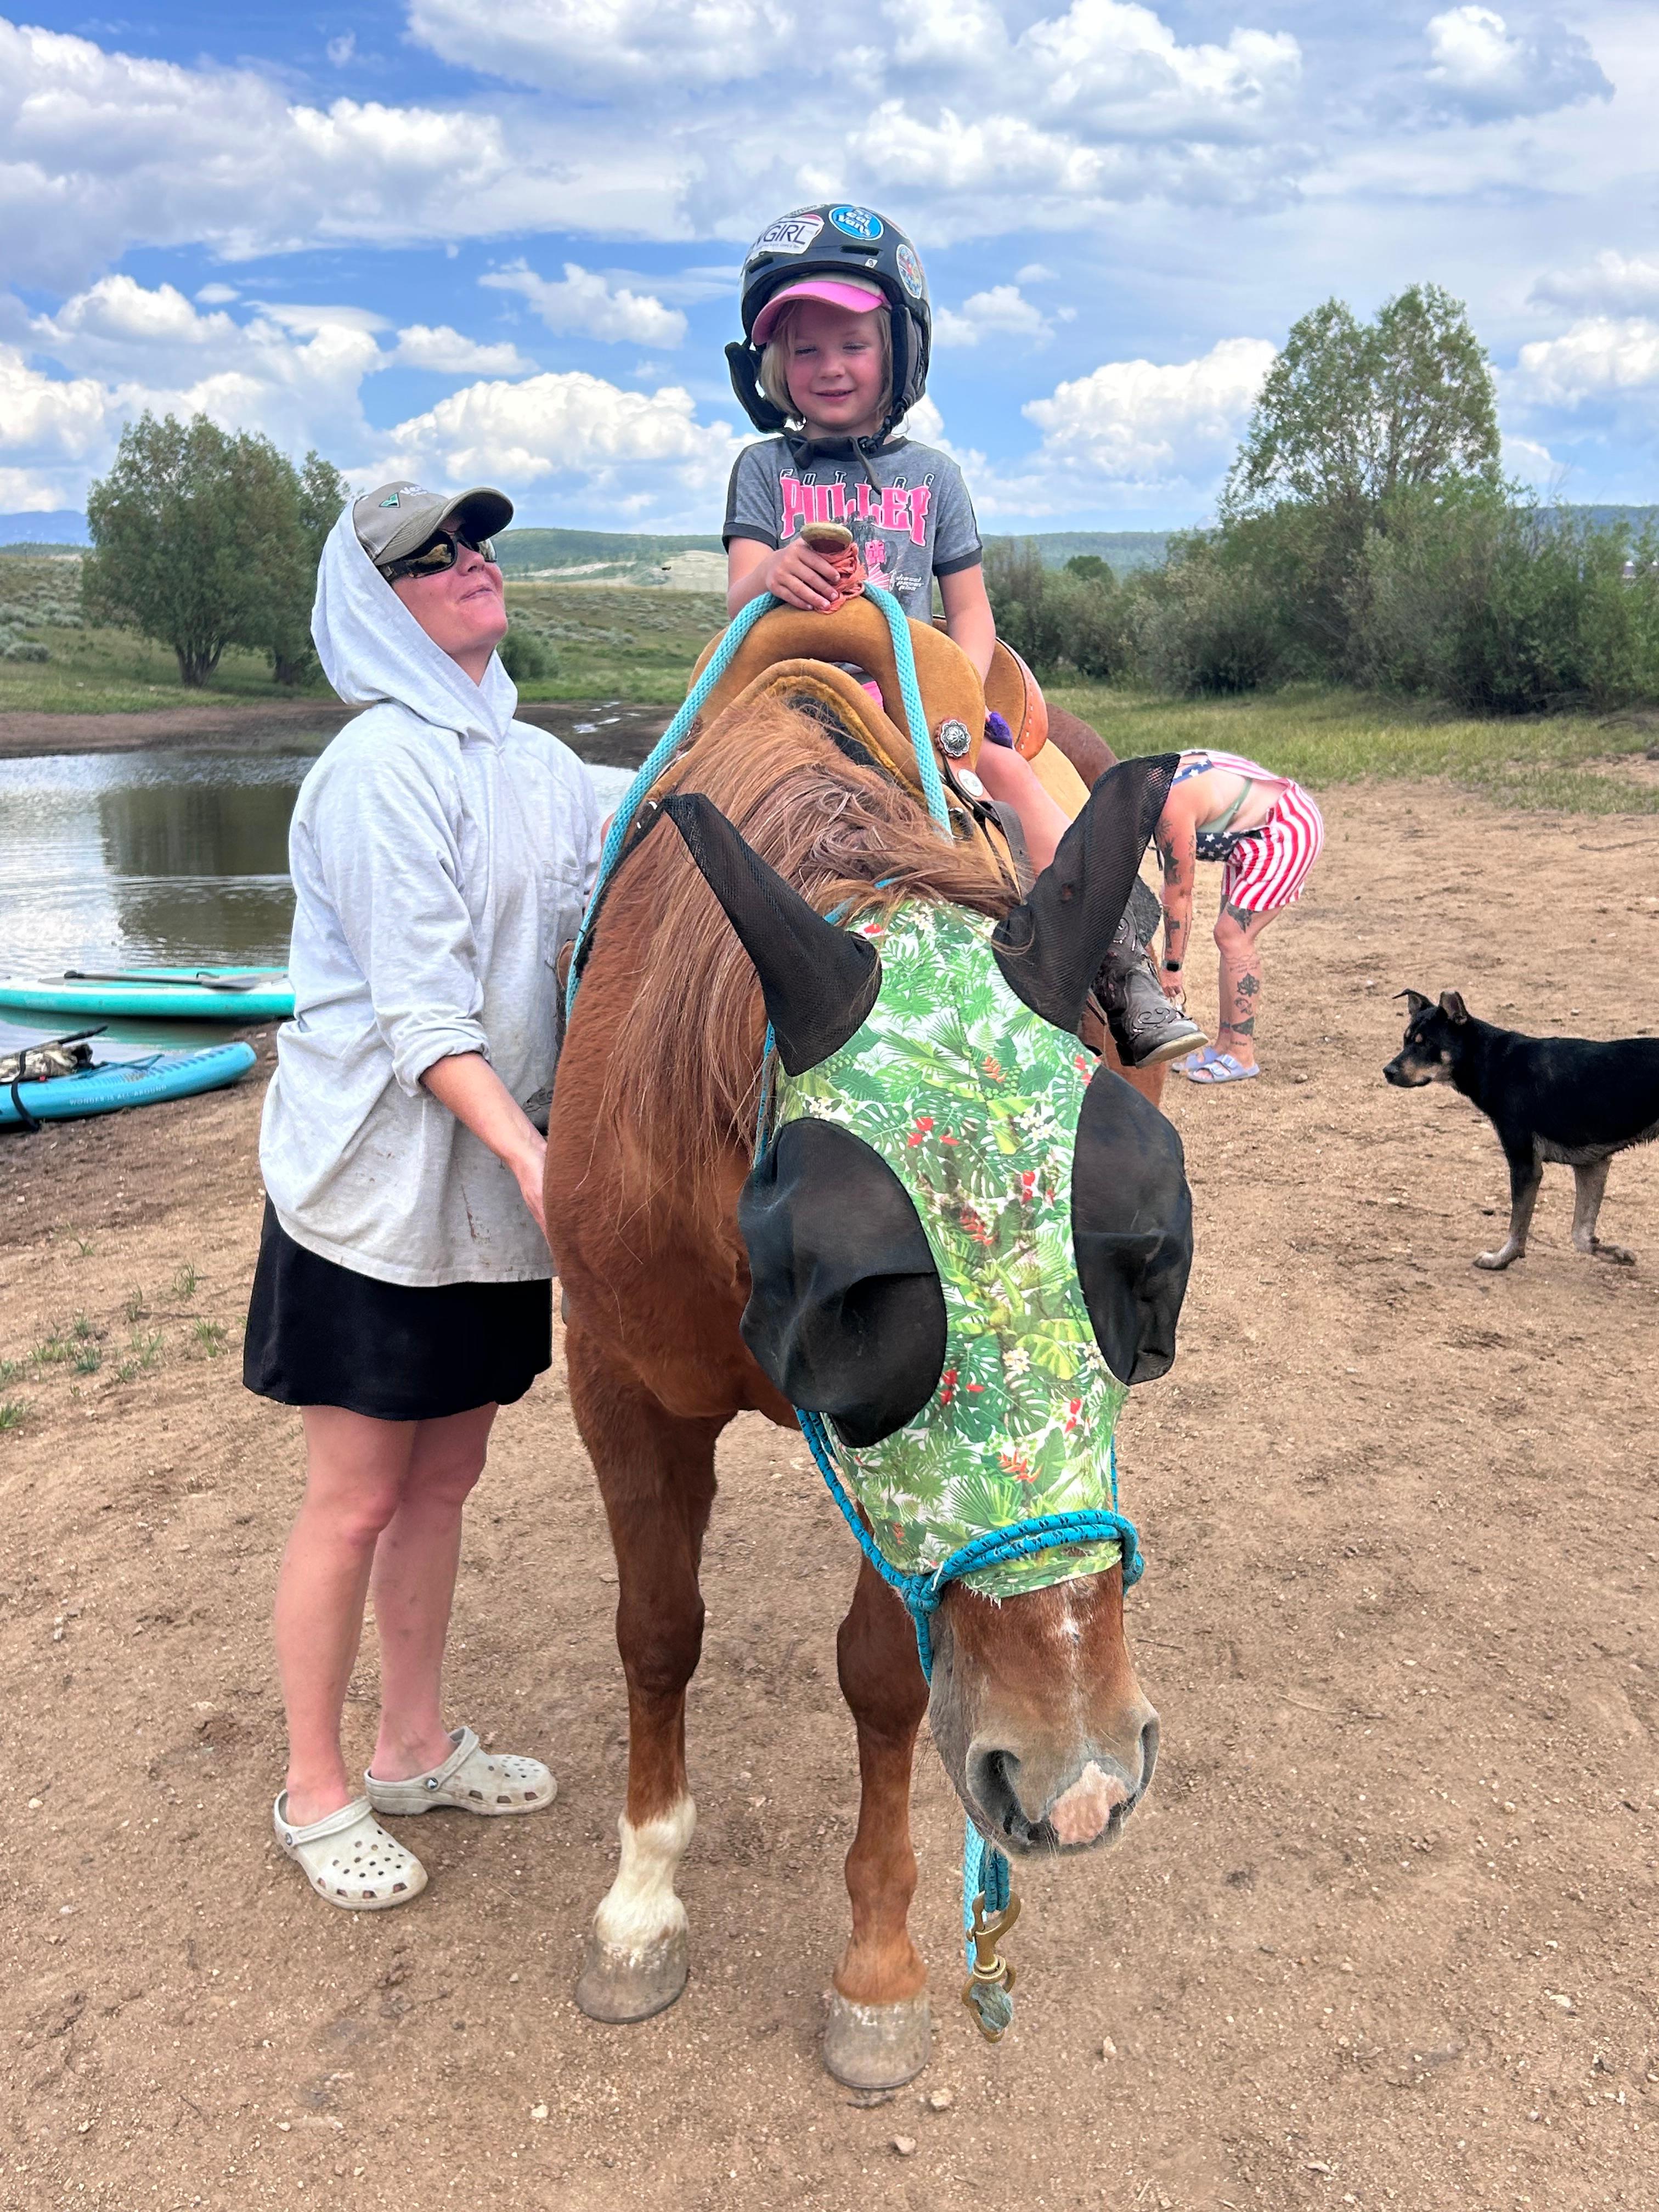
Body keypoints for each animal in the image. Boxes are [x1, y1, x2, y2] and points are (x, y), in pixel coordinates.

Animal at [546, 609, 1188, 2088]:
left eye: (1146, 1272)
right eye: (854, 1303)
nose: (1080, 1779)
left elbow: (887, 1681)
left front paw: (882, 1968)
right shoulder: (617, 1380)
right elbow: (657, 1630)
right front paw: (640, 1906)